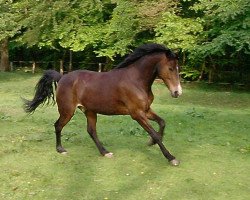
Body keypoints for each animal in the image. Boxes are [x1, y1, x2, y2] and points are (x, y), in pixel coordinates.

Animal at [23, 43, 183, 166]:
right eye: (170, 68)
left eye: (178, 68)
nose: (177, 92)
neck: (136, 80)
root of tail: (62, 77)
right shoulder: (137, 114)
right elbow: (154, 133)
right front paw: (171, 157)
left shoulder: (146, 110)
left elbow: (162, 123)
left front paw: (151, 143)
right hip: (67, 111)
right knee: (58, 126)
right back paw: (61, 149)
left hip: (89, 111)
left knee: (91, 131)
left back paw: (105, 152)